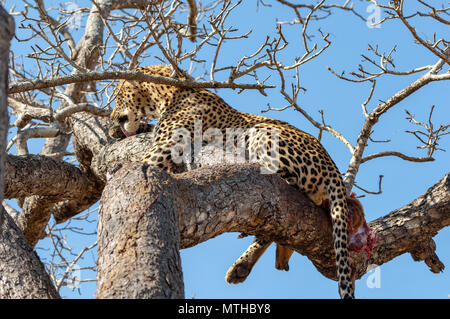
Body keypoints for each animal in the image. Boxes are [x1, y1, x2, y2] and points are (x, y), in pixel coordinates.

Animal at [110, 63, 356, 298]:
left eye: (117, 94)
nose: (112, 117)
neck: (166, 95)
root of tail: (332, 166)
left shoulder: (164, 146)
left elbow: (140, 161)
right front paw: (118, 131)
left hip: (263, 130)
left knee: (286, 184)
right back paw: (242, 267)